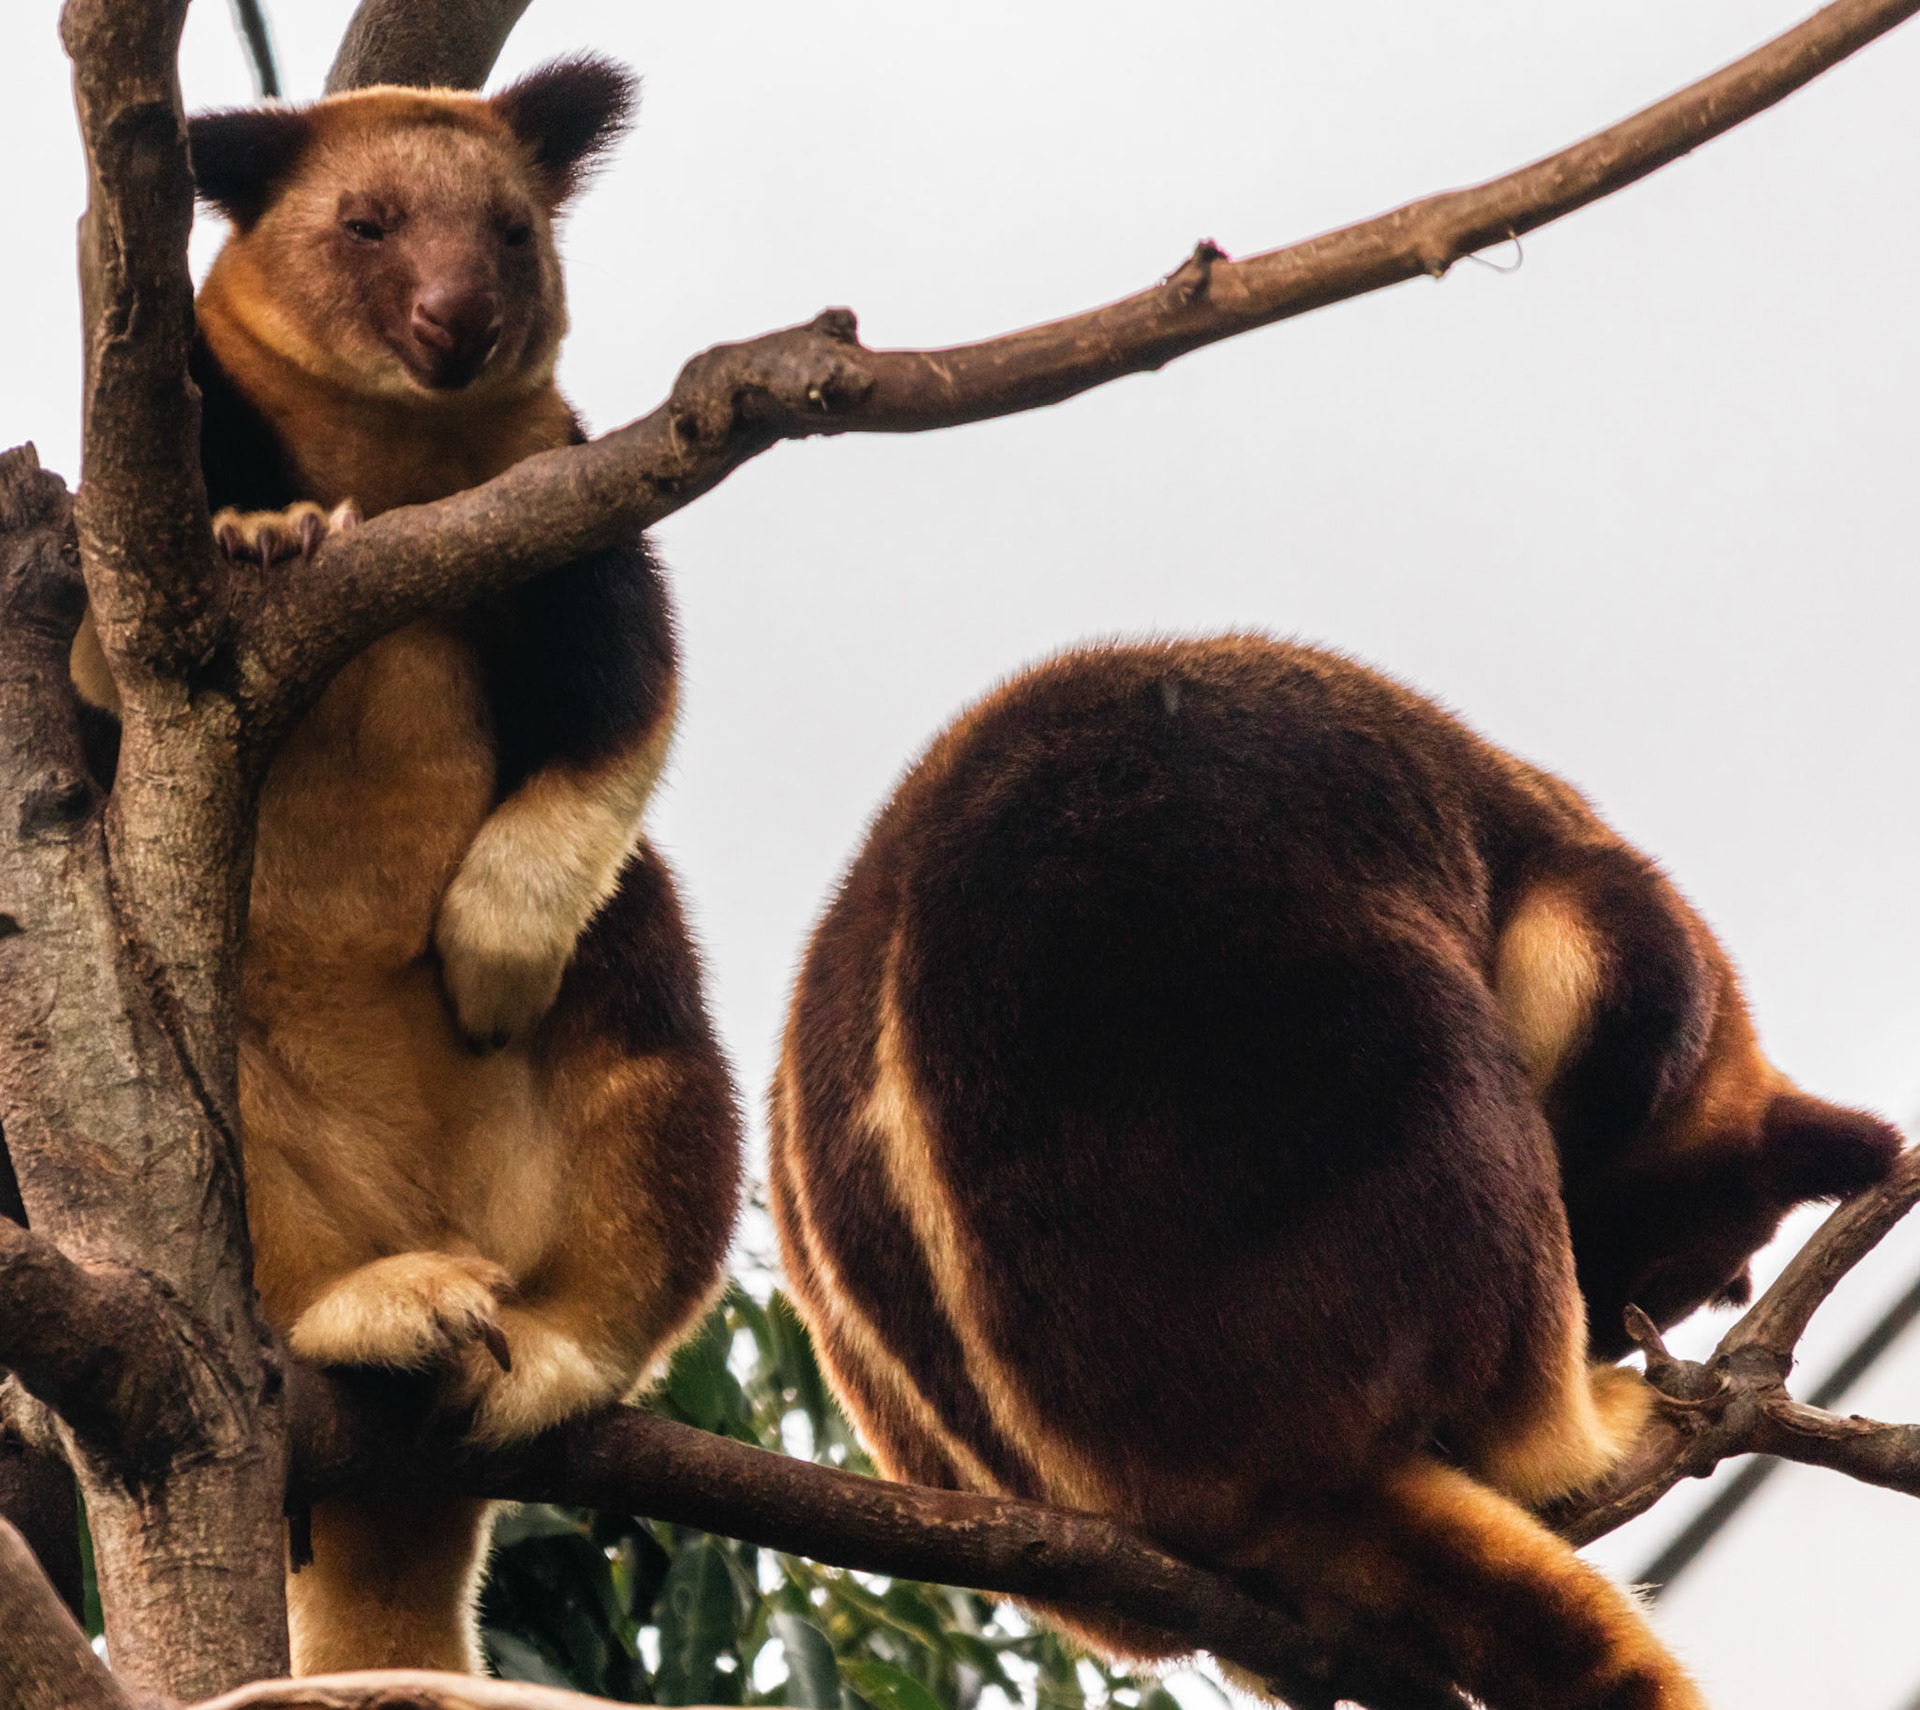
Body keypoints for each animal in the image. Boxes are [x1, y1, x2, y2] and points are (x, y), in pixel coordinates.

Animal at [70, 59, 742, 1674]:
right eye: (364, 223)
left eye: (508, 228)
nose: (458, 324)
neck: (395, 461)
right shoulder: (125, 507)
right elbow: (96, 653)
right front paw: (260, 532)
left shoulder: (565, 501)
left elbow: (628, 696)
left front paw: (486, 957)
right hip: (214, 1127)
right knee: (199, 1154)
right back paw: (372, 1309)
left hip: (605, 1032)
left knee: (654, 1062)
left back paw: (546, 1341)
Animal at [768, 635, 1899, 1709]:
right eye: (1640, 1284)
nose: (1608, 1340)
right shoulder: (1595, 918)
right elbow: (1586, 969)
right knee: (1449, 1079)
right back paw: (1569, 1438)